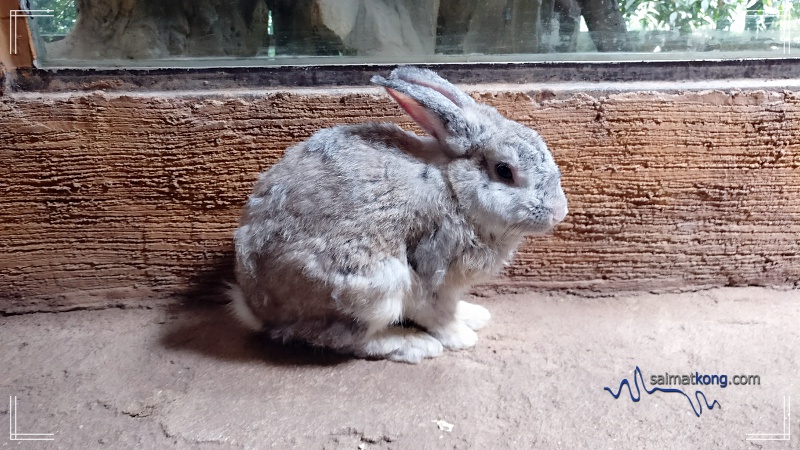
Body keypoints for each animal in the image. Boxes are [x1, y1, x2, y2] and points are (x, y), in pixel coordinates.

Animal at [228, 66, 568, 362]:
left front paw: (474, 316)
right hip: (374, 288)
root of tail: (257, 310)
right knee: (346, 340)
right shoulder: (433, 274)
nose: (559, 212)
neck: (455, 187)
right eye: (504, 171)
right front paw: (461, 337)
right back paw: (414, 345)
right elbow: (438, 316)